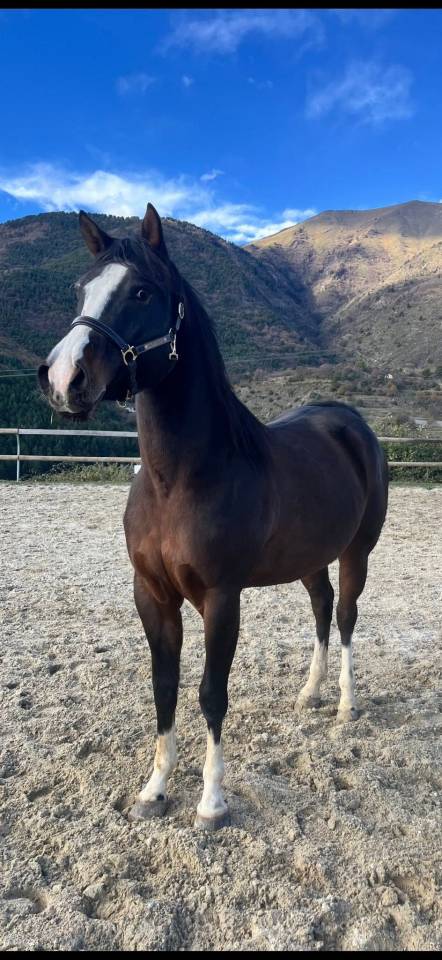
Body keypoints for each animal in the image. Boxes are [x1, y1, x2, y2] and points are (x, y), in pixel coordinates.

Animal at [38, 203, 389, 830]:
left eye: (142, 291)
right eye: (81, 288)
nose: (61, 378)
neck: (179, 481)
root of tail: (350, 422)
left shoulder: (221, 598)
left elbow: (210, 692)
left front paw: (211, 800)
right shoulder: (151, 594)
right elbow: (165, 686)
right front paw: (154, 790)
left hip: (357, 551)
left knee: (347, 615)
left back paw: (345, 704)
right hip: (310, 557)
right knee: (322, 608)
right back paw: (310, 693)